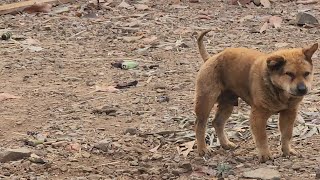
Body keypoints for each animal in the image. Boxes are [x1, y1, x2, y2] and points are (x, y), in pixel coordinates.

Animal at [195, 29, 318, 162]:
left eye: (307, 73)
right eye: (289, 74)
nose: (302, 89)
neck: (279, 92)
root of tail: (210, 58)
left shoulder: (289, 113)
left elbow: (287, 134)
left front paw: (287, 151)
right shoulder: (258, 115)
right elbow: (262, 137)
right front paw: (265, 155)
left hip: (227, 104)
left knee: (217, 122)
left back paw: (225, 144)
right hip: (205, 101)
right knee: (200, 125)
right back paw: (203, 149)